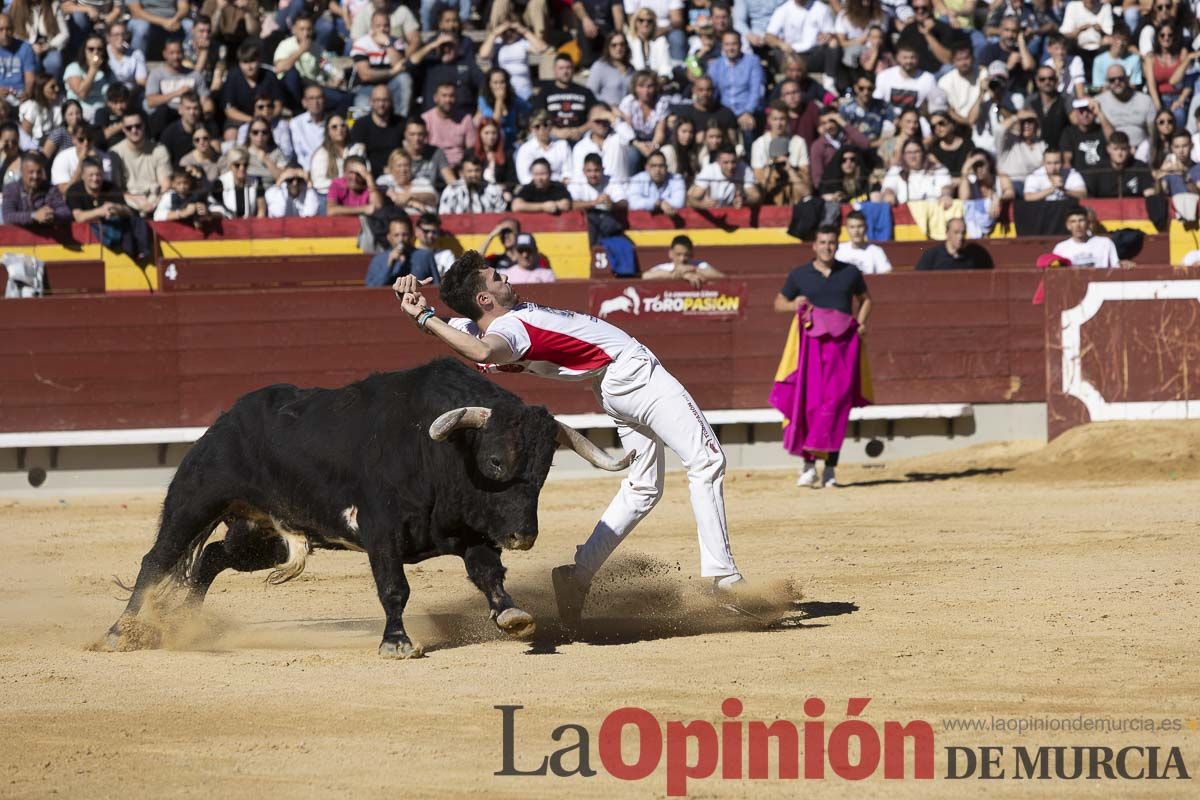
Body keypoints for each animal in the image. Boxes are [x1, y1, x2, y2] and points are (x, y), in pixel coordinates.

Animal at [100, 359, 638, 662]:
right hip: (195, 498)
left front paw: (513, 616)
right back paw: (118, 632)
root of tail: (226, 418)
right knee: (157, 559)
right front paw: (397, 643)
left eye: (546, 469)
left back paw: (187, 623)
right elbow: (394, 588)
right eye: (494, 462)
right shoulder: (382, 533)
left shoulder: (466, 533)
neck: (440, 455)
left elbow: (488, 573)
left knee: (211, 557)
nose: (523, 536)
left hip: (257, 536)